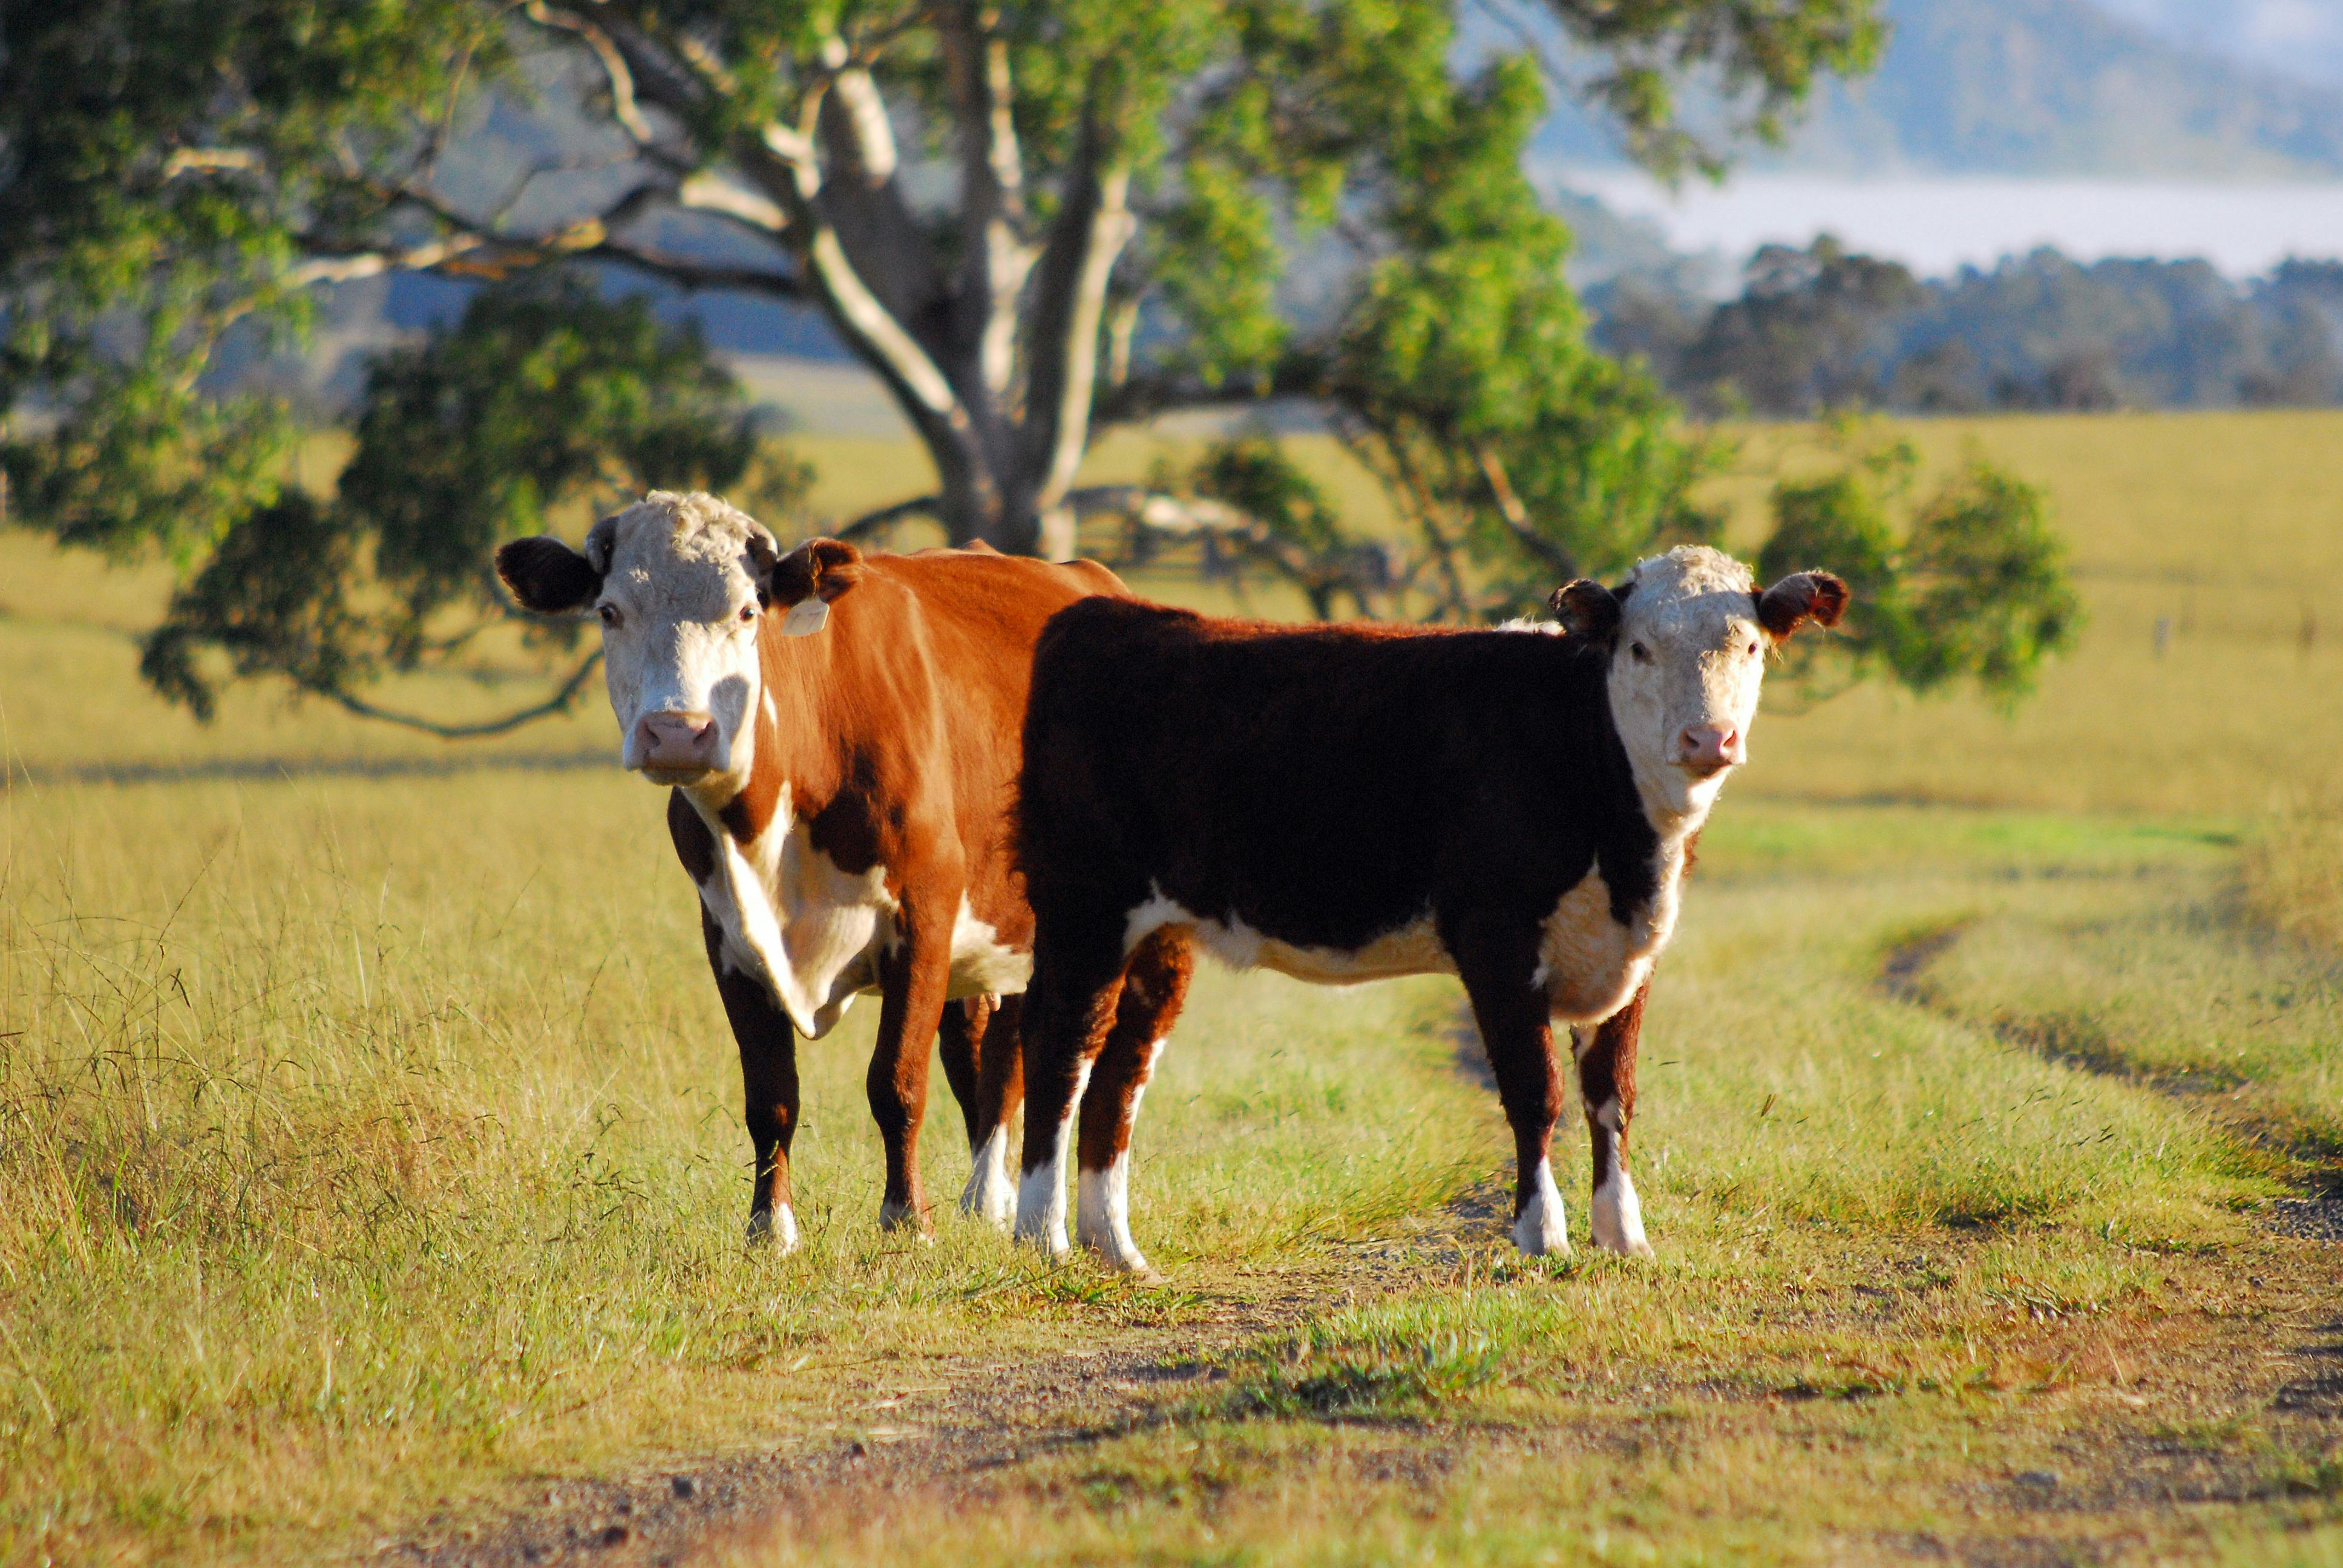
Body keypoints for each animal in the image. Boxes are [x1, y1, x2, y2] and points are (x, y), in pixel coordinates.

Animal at [494, 490, 1190, 1250]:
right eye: (610, 611)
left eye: (747, 611)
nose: (677, 732)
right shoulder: (727, 936)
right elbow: (770, 1097)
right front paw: (769, 1229)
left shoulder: (927, 913)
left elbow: (896, 1080)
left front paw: (906, 1218)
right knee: (991, 1053)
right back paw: (988, 1198)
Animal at [1009, 545, 1846, 1277]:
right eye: (1639, 648)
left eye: (1748, 646)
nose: (1708, 738)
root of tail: (1109, 616)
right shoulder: (1495, 939)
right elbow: (1534, 1091)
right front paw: (1542, 1234)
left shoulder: (1633, 949)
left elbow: (1611, 1096)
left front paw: (1623, 1235)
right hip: (1084, 911)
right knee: (1060, 1049)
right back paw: (1041, 1239)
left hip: (1158, 937)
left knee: (1119, 1073)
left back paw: (1116, 1250)